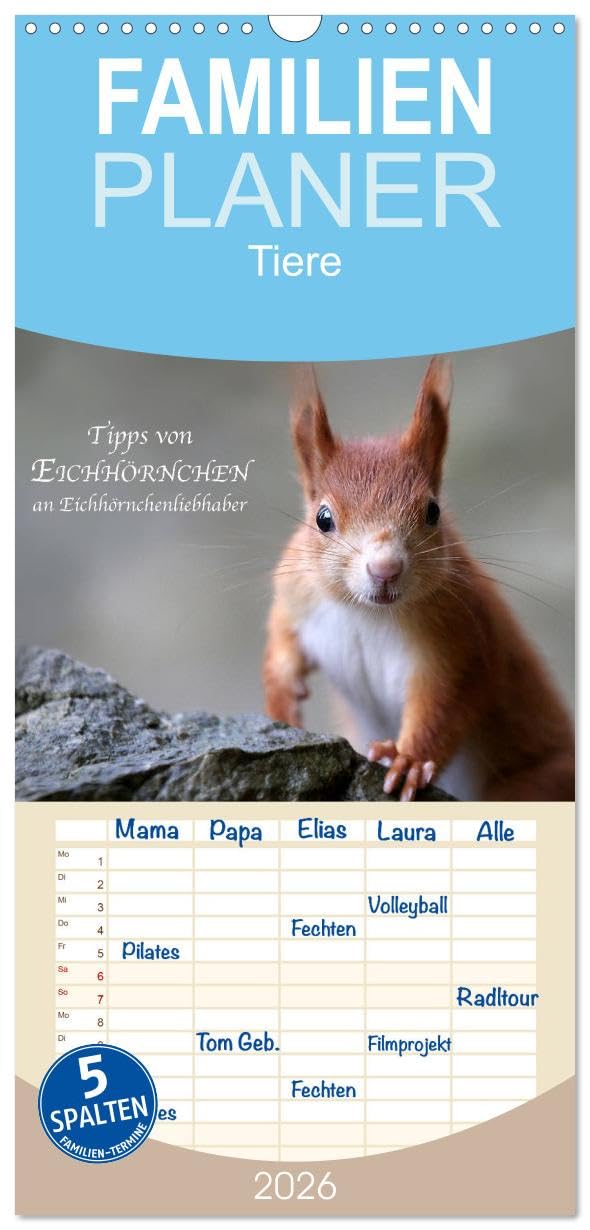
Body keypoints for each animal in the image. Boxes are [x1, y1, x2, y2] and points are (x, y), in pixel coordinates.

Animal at [263, 359, 574, 802]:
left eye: (432, 511)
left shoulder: (461, 637)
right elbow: (282, 641)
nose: (385, 568)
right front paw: (281, 697)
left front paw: (408, 760)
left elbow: (445, 705)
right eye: (323, 518)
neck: (365, 613)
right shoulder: (296, 594)